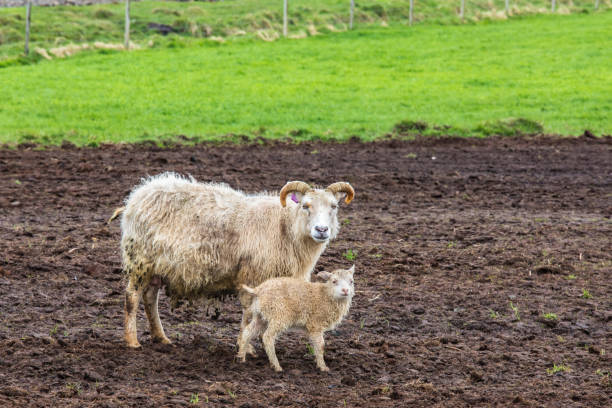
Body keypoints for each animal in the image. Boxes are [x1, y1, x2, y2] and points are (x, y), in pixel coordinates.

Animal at [111, 172, 354, 348]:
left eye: (334, 207)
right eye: (306, 206)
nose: (321, 230)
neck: (285, 228)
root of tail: (136, 196)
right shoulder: (253, 277)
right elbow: (249, 314)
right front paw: (247, 347)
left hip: (158, 267)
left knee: (150, 298)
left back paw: (161, 338)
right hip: (140, 260)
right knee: (132, 297)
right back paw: (132, 341)